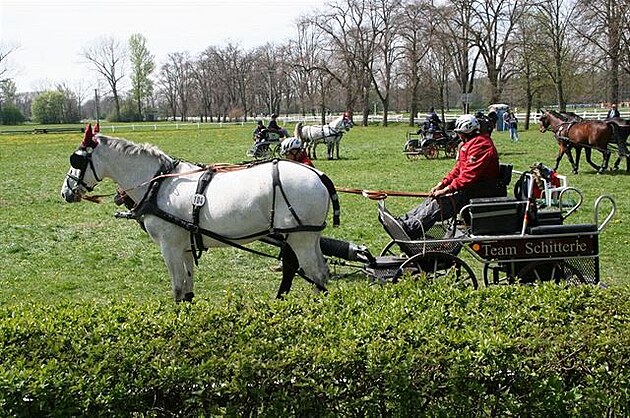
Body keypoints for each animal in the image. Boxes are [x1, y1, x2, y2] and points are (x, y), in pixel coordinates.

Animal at [61, 125, 344, 302]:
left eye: (76, 159)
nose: (65, 191)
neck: (158, 184)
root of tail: (318, 174)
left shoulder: (169, 247)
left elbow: (177, 289)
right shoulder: (185, 246)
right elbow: (188, 290)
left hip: (299, 238)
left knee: (315, 276)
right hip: (305, 237)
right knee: (312, 271)